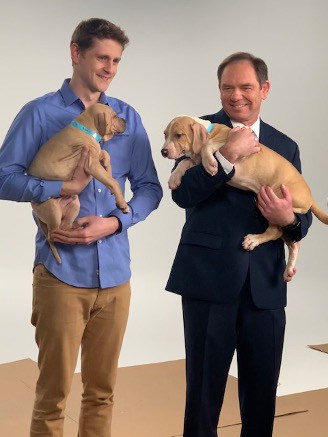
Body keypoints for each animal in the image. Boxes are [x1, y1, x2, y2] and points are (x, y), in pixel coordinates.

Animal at [28, 102, 129, 262]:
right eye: (114, 116)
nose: (125, 120)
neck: (86, 128)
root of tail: (33, 207)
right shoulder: (91, 164)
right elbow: (113, 182)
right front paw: (122, 204)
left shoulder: (95, 154)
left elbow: (105, 155)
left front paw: (108, 169)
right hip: (52, 209)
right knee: (53, 234)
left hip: (74, 204)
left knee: (64, 227)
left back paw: (77, 230)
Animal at [162, 114, 328, 282]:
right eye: (165, 134)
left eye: (179, 135)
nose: (163, 151)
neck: (210, 131)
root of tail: (310, 197)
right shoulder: (195, 161)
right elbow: (185, 161)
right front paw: (174, 178)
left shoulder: (225, 145)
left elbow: (207, 146)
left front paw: (211, 164)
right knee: (293, 243)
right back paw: (288, 269)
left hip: (276, 201)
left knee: (275, 232)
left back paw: (253, 240)